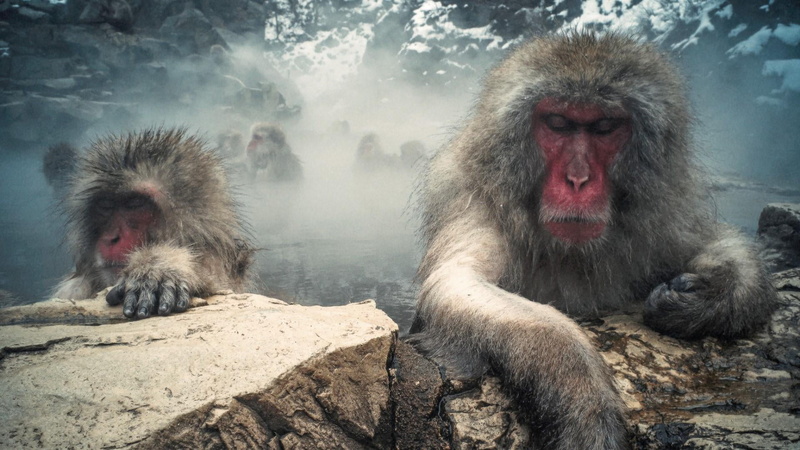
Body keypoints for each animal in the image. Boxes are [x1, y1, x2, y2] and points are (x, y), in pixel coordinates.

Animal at [409, 31, 777, 450]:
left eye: (603, 127)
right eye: (557, 123)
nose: (578, 179)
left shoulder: (663, 216)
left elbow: (717, 238)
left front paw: (707, 298)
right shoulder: (476, 205)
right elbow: (455, 283)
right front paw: (579, 391)